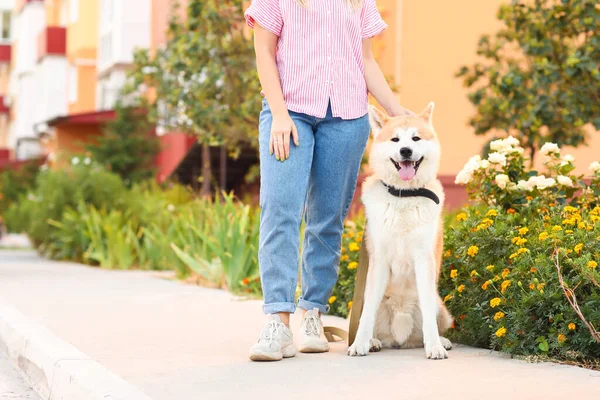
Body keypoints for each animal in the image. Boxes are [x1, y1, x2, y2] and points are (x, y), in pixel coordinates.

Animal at [350, 103, 452, 360]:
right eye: (395, 139)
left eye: (416, 138)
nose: (406, 151)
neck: (404, 195)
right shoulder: (379, 261)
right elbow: (367, 315)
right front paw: (360, 343)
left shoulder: (424, 261)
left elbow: (428, 316)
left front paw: (434, 346)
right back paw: (374, 341)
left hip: (440, 306)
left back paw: (441, 340)